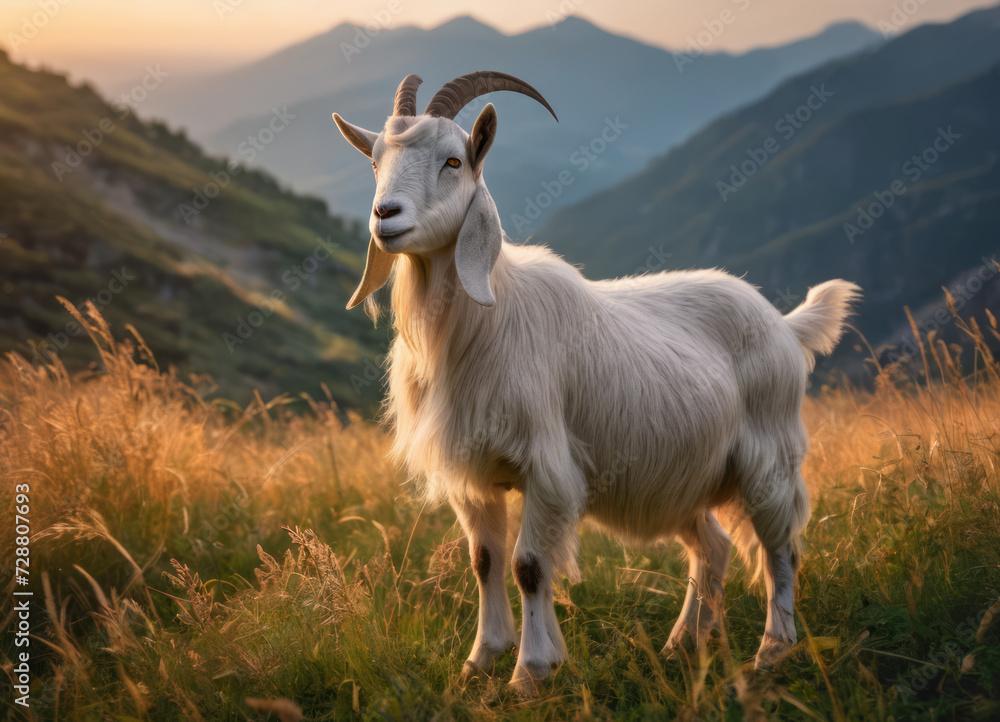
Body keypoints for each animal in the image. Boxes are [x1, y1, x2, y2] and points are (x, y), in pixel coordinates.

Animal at [333, 71, 860, 692]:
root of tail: (784, 323)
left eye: (453, 161)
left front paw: (531, 672)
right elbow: (484, 562)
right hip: (686, 478)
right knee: (715, 548)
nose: (385, 215)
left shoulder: (545, 466)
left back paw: (772, 650)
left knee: (781, 548)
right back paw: (684, 643)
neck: (484, 320)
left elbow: (528, 565)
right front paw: (481, 660)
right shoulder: (475, 473)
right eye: (375, 161)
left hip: (770, 455)